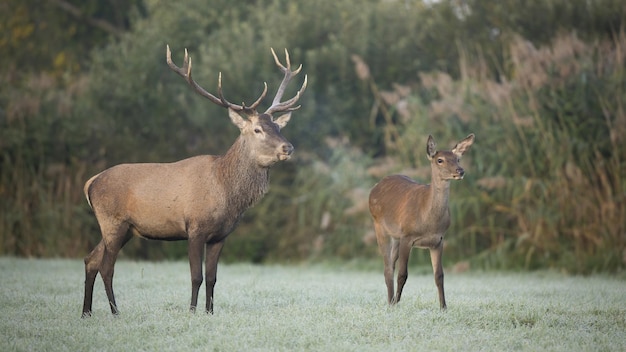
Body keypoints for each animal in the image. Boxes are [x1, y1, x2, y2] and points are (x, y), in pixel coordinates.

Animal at [366, 133, 472, 310]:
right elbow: (403, 274)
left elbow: (439, 275)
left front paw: (444, 307)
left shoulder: (438, 240)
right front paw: (397, 303)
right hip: (379, 225)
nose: (460, 171)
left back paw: (390, 300)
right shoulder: (407, 236)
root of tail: (375, 187)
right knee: (387, 268)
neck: (429, 221)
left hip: (396, 236)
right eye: (440, 160)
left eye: (458, 159)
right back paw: (391, 303)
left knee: (390, 264)